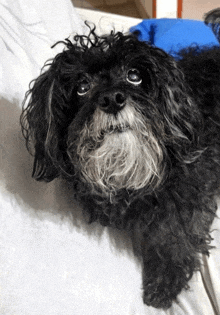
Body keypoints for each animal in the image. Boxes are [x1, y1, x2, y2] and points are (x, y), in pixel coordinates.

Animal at [21, 10, 220, 312]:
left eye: (134, 75)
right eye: (82, 86)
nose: (112, 99)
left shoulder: (191, 202)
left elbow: (177, 240)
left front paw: (163, 286)